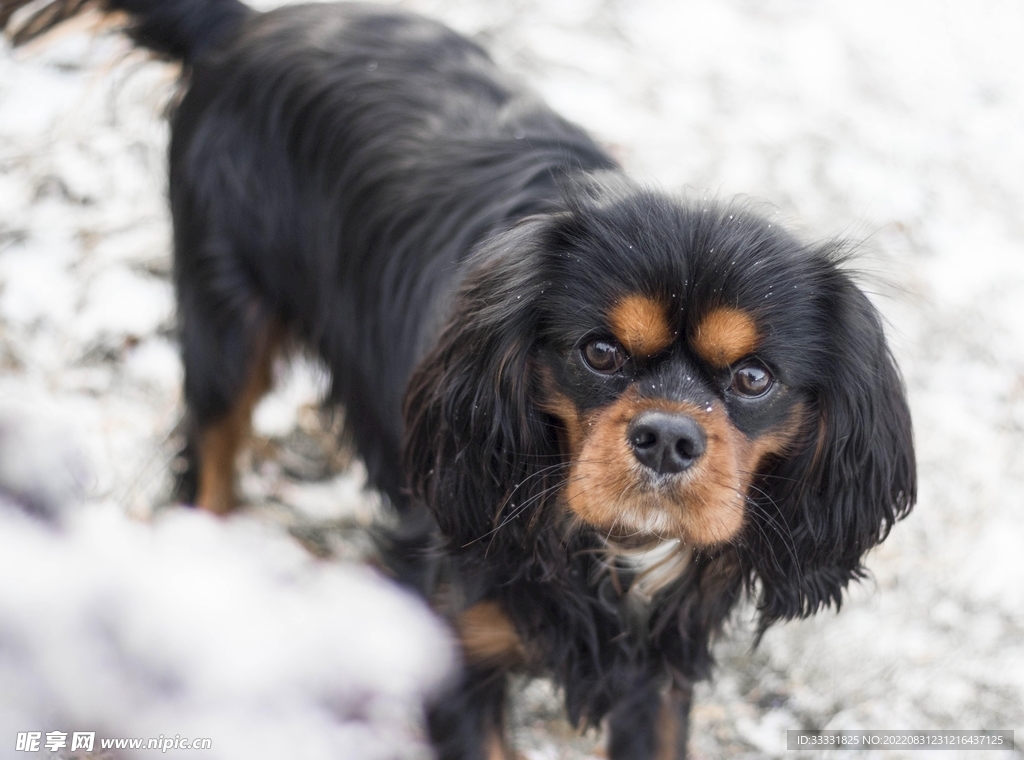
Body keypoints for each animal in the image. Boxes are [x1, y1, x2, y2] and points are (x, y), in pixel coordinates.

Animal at [4, 2, 917, 757]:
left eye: (754, 378)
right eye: (599, 353)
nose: (666, 436)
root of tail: (250, 23)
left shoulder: (657, 675)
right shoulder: (453, 643)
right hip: (226, 323)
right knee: (211, 457)